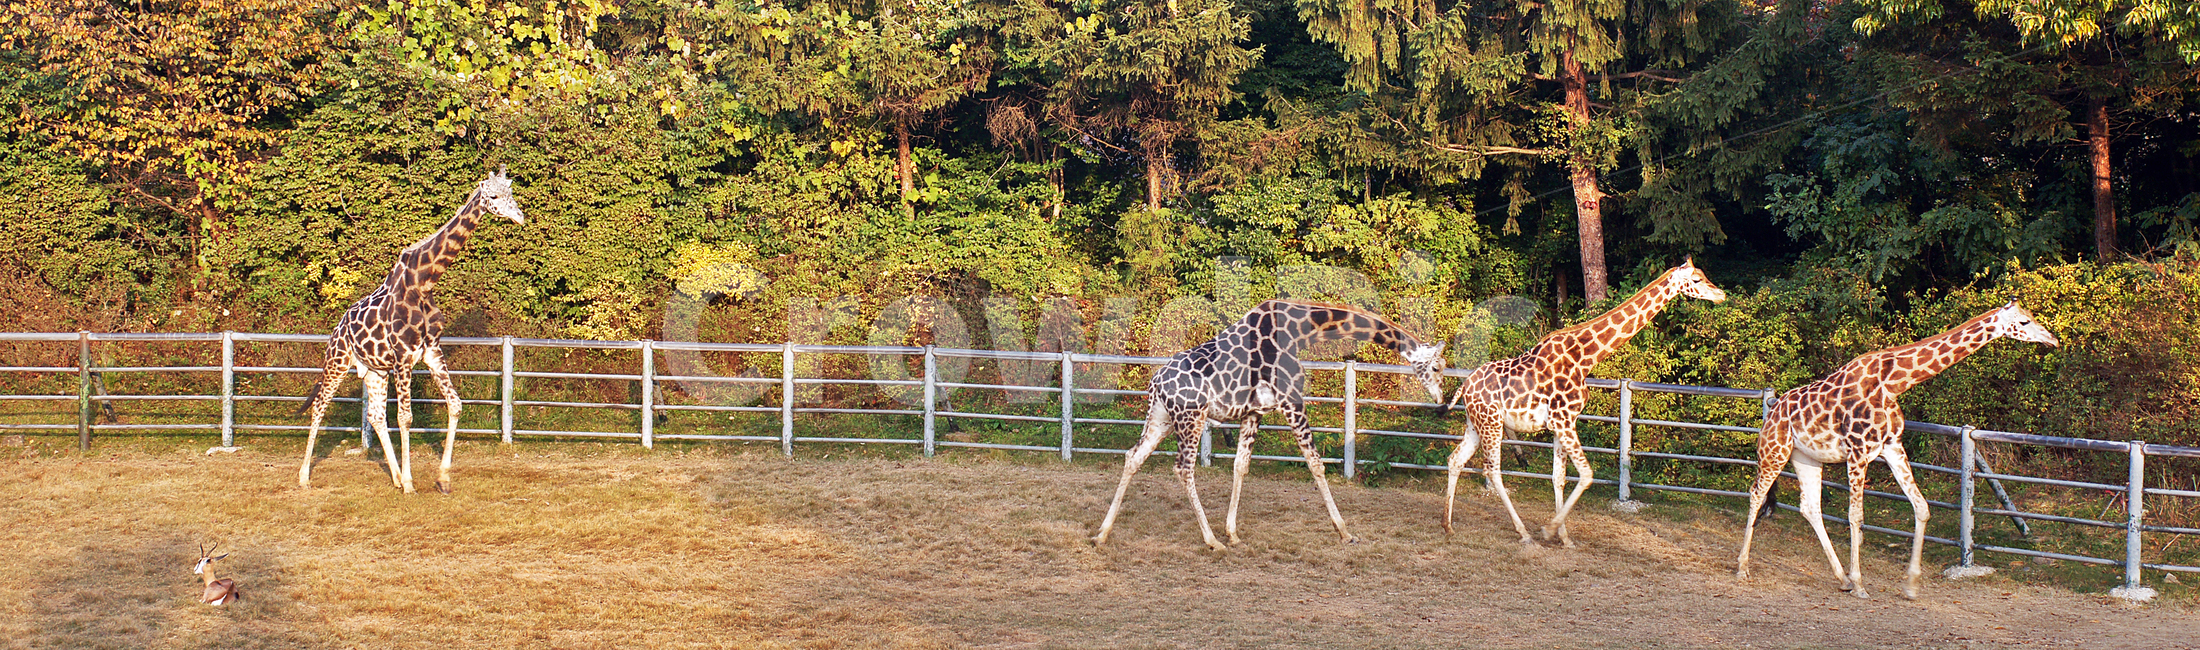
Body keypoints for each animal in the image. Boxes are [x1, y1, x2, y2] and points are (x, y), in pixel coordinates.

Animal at [298, 167, 524, 494]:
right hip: (337, 360)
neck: (423, 282)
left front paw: (442, 479)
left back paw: (392, 476)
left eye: (511, 193)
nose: (519, 216)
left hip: (375, 370)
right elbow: (405, 417)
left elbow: (455, 405)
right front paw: (409, 483)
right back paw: (304, 476)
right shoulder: (404, 356)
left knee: (375, 416)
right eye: (493, 196)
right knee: (319, 406)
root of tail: (338, 326)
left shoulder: (431, 351)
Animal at [1093, 299, 1447, 550]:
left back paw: (1102, 533)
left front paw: (1233, 533)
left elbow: (1241, 466)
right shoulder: (1291, 401)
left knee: (1133, 456)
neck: (1301, 330)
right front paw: (1345, 531)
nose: (1442, 403)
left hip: (1162, 418)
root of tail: (1155, 383)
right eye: (1437, 367)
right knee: (1183, 468)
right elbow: (1315, 463)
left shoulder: (1254, 412)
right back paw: (1211, 541)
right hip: (1191, 418)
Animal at [1443, 260, 1727, 547]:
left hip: (1476, 424)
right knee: (1492, 470)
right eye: (1697, 279)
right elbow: (1587, 474)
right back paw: (1523, 533)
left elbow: (1559, 477)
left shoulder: (1560, 424)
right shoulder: (1564, 420)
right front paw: (1549, 530)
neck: (1585, 358)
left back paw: (1448, 525)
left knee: (1455, 459)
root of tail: (1465, 387)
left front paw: (1565, 537)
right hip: (1491, 423)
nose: (1721, 294)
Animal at [1737, 301, 2057, 600]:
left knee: (1810, 507)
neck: (1894, 384)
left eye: (2031, 316)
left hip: (1807, 457)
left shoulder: (1892, 447)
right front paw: (1861, 585)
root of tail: (1773, 409)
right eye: (2024, 321)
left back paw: (1841, 579)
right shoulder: (1857, 451)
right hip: (1775, 450)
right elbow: (1856, 516)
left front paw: (1911, 585)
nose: (2052, 339)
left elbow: (1922, 507)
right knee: (1756, 493)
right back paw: (1743, 567)